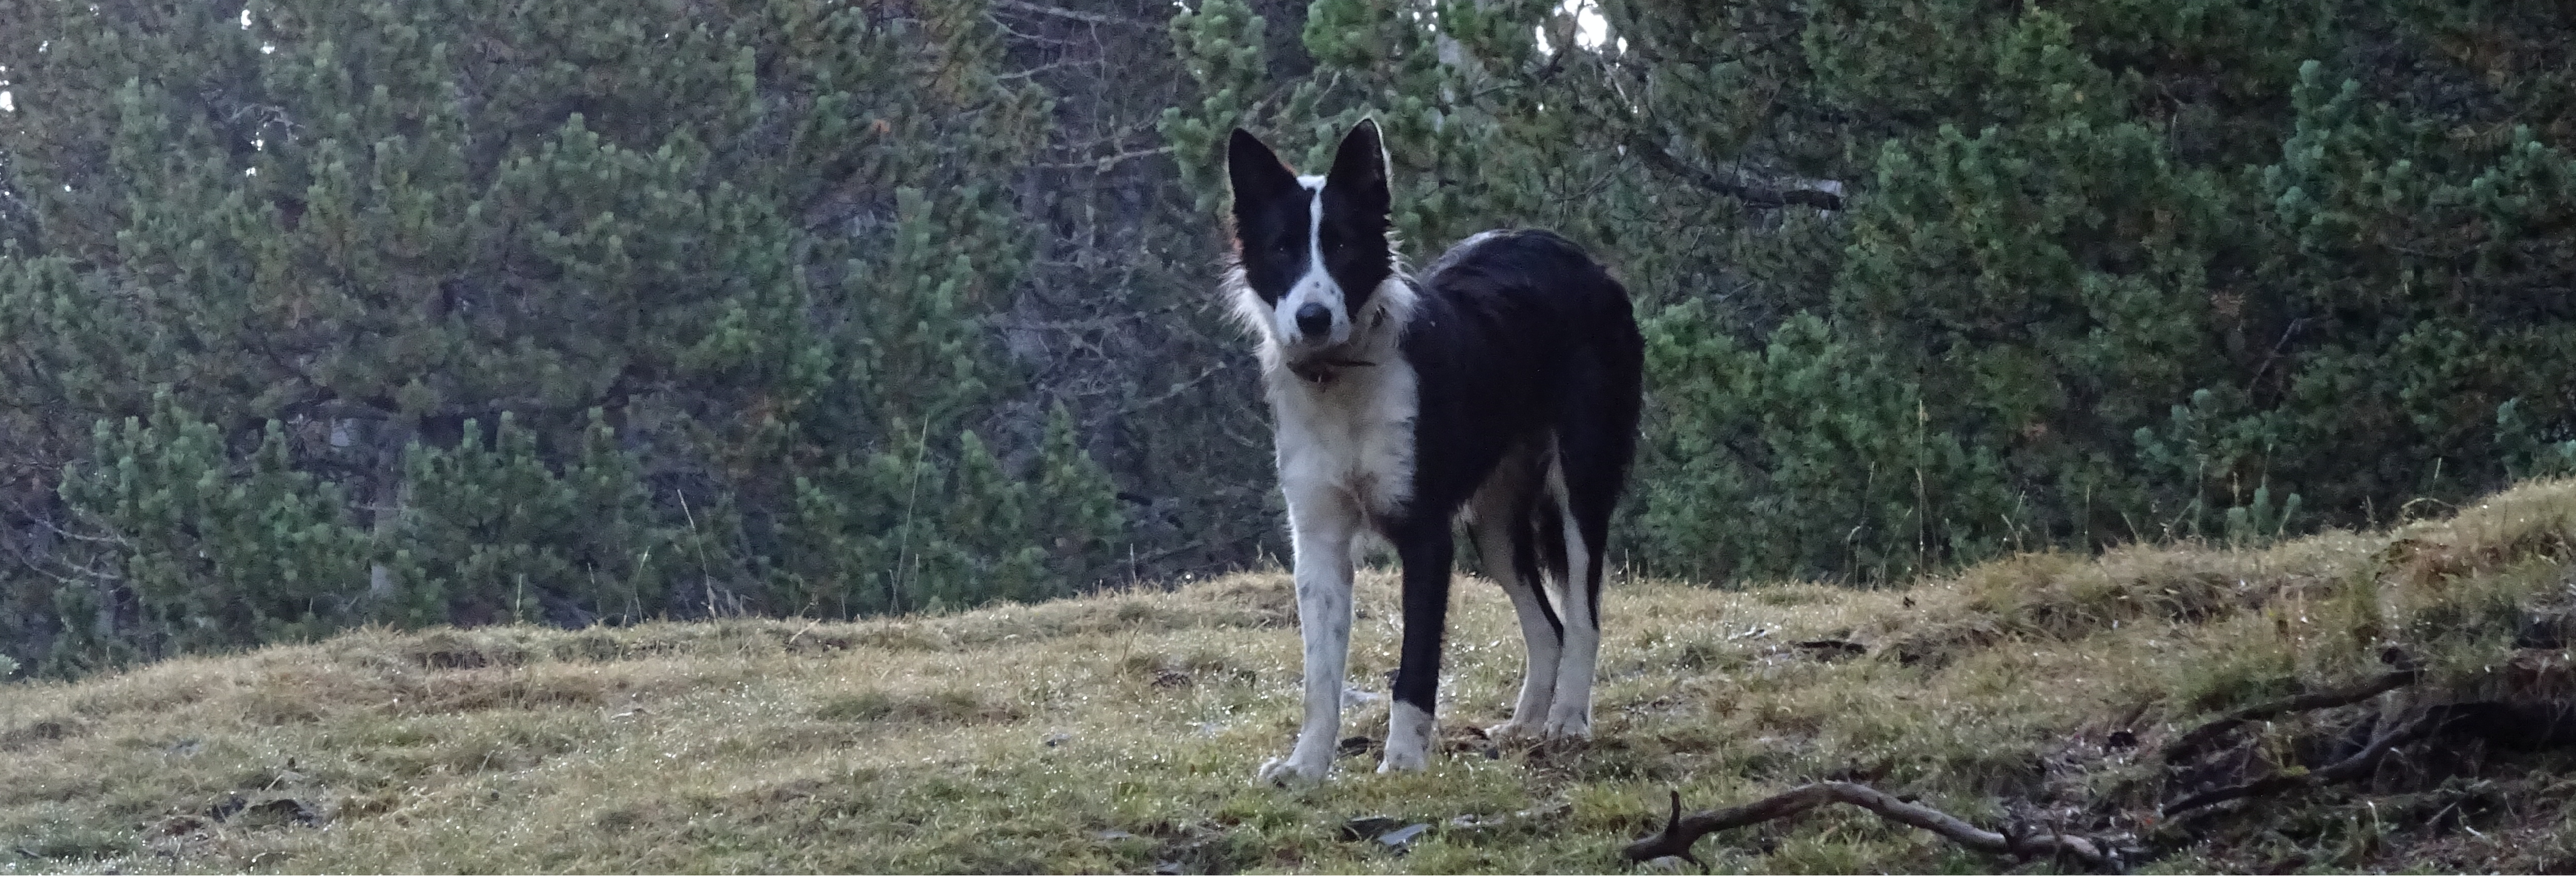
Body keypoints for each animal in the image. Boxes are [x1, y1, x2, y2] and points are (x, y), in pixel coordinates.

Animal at [1215, 119, 1638, 782]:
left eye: (1341, 247)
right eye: (1282, 249)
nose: (1312, 318)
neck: (1341, 378)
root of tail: (1582, 259)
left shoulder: (1425, 536)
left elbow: (1414, 666)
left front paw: (1403, 761)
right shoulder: (1318, 542)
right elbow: (1319, 679)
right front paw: (1306, 766)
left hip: (1581, 480)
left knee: (1583, 614)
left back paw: (1568, 719)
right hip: (1494, 524)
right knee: (1546, 626)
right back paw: (1525, 725)